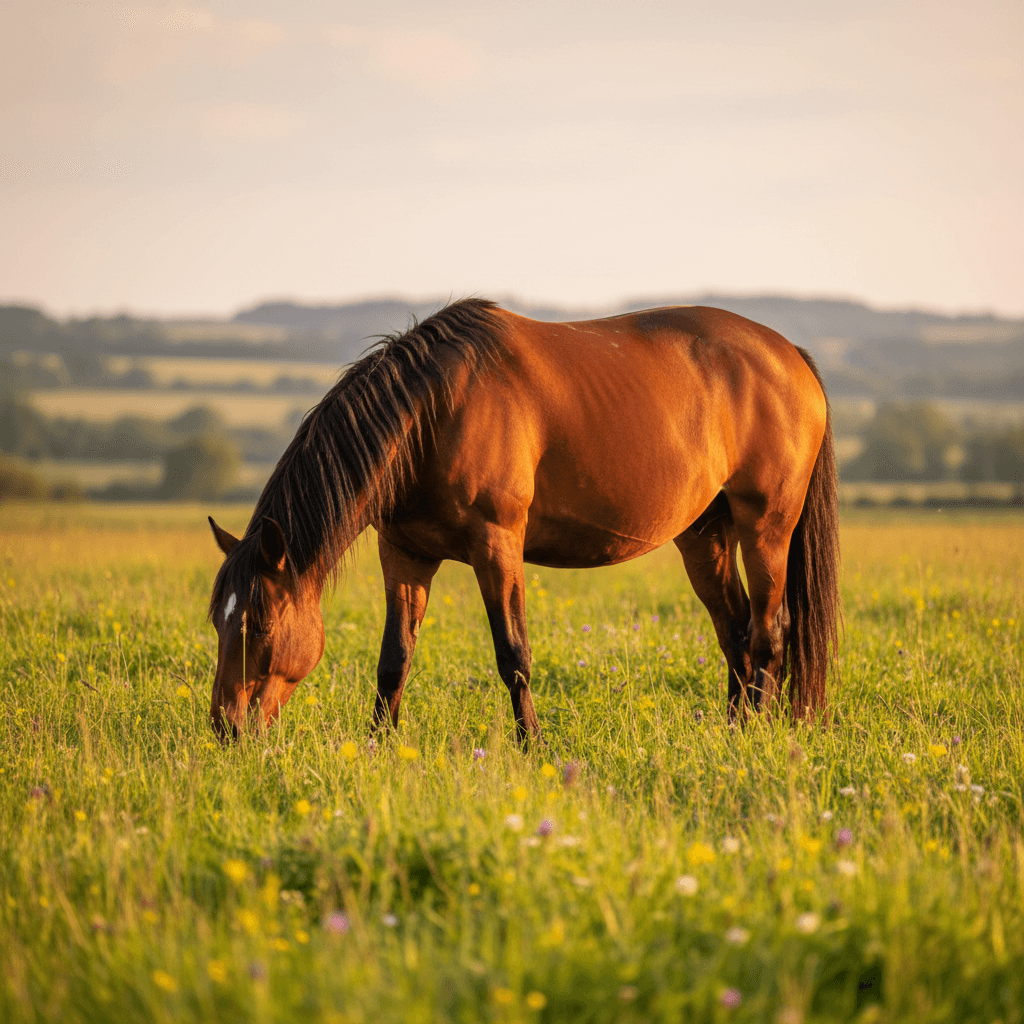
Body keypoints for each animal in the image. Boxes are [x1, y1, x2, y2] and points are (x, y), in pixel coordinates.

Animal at [207, 298, 840, 743]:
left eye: (260, 626)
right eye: (218, 619)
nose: (225, 728)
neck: (437, 411)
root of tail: (789, 355)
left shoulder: (497, 545)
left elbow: (513, 655)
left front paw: (532, 746)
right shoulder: (406, 554)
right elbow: (394, 659)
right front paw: (377, 746)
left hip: (766, 527)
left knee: (767, 633)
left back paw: (754, 736)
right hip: (704, 534)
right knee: (734, 631)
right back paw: (730, 733)